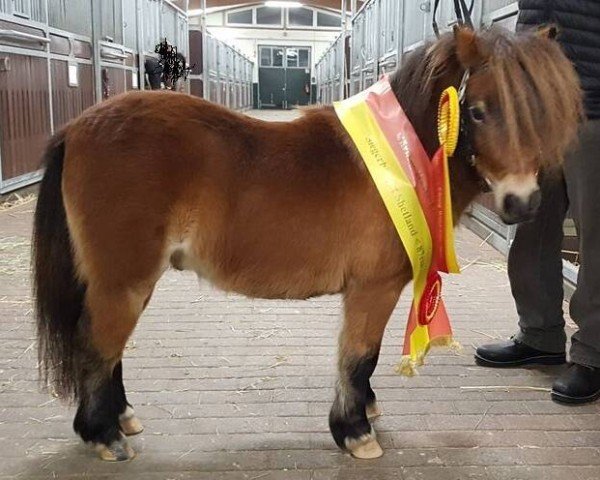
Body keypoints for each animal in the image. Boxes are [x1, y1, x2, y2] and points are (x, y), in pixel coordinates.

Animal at [31, 26, 580, 462]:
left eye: (544, 115)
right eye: (480, 112)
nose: (522, 203)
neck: (401, 157)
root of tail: (77, 128)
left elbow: (361, 360)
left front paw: (366, 410)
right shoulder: (373, 288)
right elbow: (359, 355)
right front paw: (355, 432)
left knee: (110, 348)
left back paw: (121, 419)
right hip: (122, 280)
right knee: (98, 344)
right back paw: (103, 436)